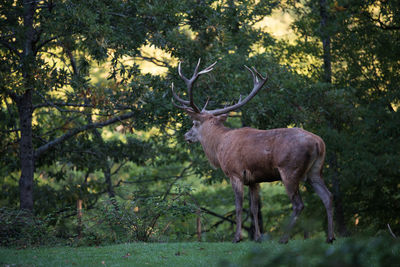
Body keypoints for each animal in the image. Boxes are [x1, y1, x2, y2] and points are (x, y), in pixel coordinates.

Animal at [171, 59, 334, 245]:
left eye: (194, 123)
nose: (186, 136)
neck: (219, 146)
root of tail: (319, 143)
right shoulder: (254, 179)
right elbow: (254, 208)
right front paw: (257, 237)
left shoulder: (235, 173)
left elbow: (238, 206)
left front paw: (237, 237)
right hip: (315, 170)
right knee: (328, 196)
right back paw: (330, 237)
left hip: (290, 169)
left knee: (298, 204)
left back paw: (284, 238)